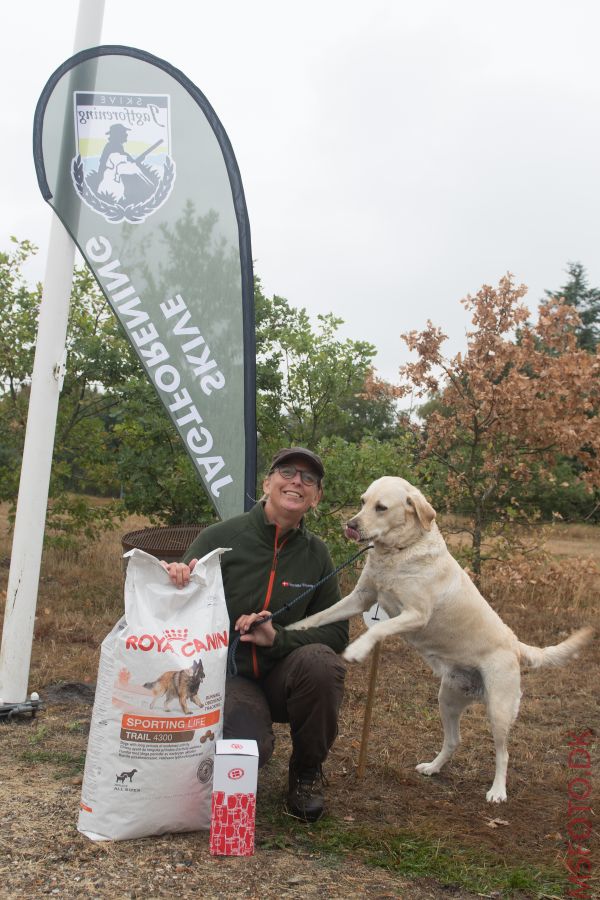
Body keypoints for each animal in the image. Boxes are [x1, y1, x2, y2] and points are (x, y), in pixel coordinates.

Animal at [288, 478, 592, 800]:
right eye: (362, 501)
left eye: (381, 507)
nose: (351, 525)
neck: (400, 551)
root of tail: (515, 644)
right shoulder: (361, 597)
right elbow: (320, 616)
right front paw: (290, 627)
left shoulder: (415, 614)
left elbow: (377, 629)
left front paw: (357, 649)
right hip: (447, 699)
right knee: (454, 740)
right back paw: (432, 768)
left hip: (499, 710)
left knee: (503, 753)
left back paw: (497, 791)